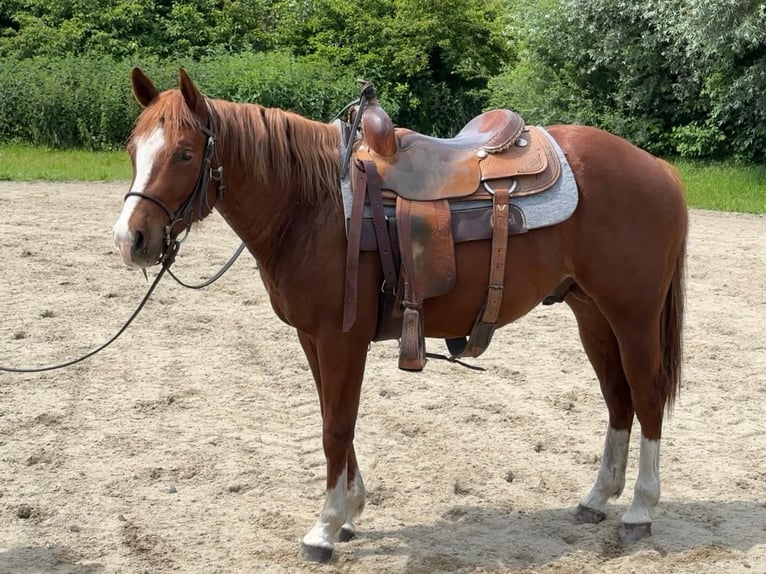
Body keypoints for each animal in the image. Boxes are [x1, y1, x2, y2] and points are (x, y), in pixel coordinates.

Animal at [112, 68, 688, 563]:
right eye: (132, 149)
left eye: (185, 153)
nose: (130, 239)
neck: (312, 206)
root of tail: (659, 168)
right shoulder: (312, 339)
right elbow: (332, 418)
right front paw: (349, 511)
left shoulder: (340, 338)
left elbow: (336, 427)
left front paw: (324, 528)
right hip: (591, 312)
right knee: (617, 398)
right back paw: (597, 499)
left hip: (633, 315)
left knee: (647, 395)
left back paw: (639, 510)